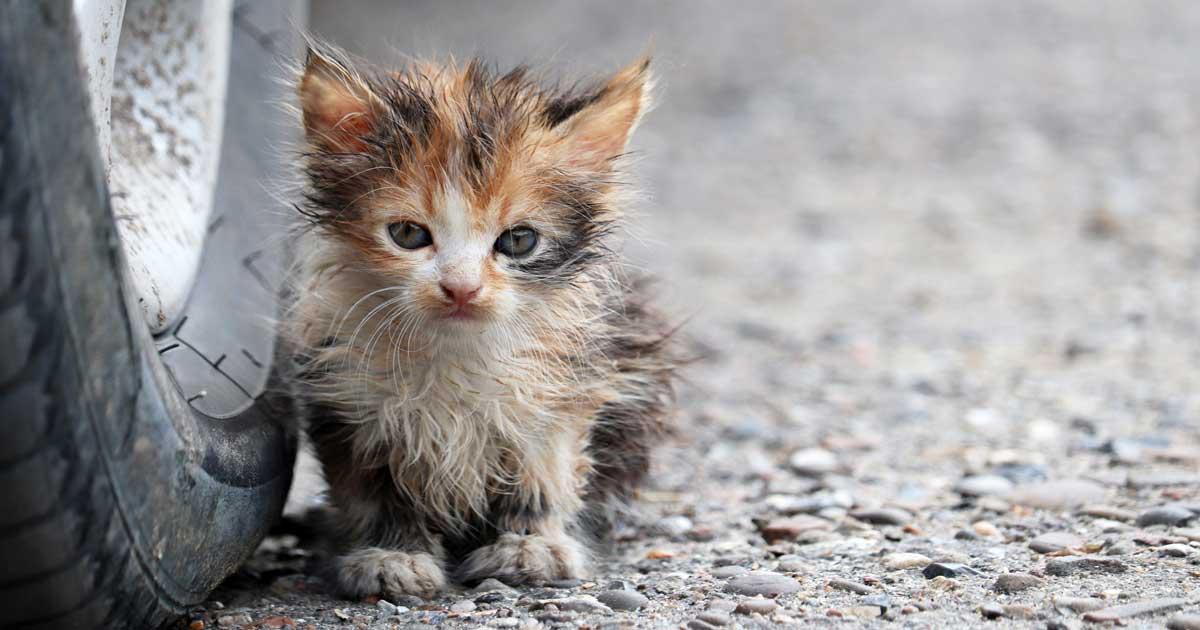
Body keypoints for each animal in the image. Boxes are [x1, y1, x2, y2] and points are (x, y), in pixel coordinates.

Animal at [282, 45, 676, 600]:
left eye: (518, 241)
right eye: (408, 234)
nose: (462, 288)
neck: (454, 352)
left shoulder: (563, 392)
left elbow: (543, 475)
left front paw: (532, 546)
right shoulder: (349, 400)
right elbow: (374, 491)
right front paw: (393, 555)